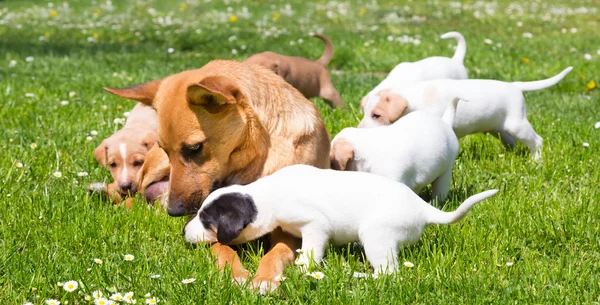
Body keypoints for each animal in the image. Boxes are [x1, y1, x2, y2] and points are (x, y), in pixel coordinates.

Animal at [103, 58, 328, 292]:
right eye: (165, 148)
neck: (254, 157)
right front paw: (236, 273)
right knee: (135, 194)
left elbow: (278, 251)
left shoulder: (288, 229)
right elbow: (223, 248)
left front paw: (265, 277)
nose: (174, 212)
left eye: (195, 148)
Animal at [183, 164, 496, 276]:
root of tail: (422, 208)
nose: (184, 233)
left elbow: (311, 251)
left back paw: (361, 275)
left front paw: (304, 267)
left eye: (206, 221)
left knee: (389, 272)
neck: (264, 196)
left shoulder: (314, 227)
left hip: (377, 237)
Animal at [356, 66, 572, 159]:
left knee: (537, 141)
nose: (360, 129)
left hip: (517, 124)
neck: (413, 99)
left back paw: (536, 161)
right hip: (498, 128)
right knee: (510, 142)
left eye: (376, 115)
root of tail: (515, 87)